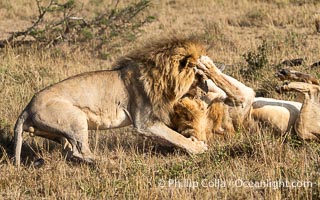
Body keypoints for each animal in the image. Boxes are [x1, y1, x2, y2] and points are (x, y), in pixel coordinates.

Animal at [13, 37, 241, 166]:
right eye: (199, 76)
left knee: (70, 152)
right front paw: (197, 148)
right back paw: (111, 162)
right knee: (80, 151)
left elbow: (172, 136)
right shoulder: (145, 122)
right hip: (75, 117)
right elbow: (174, 136)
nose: (205, 89)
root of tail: (27, 108)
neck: (162, 79)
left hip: (61, 132)